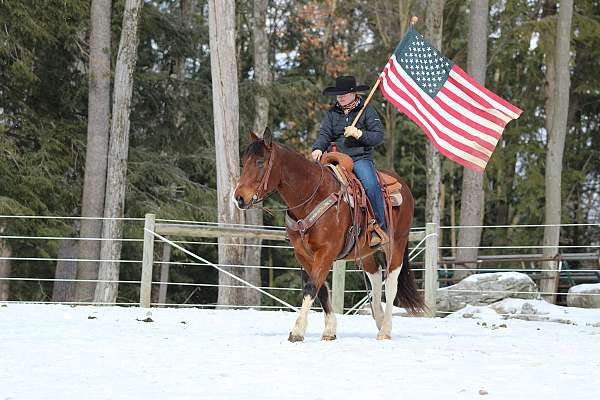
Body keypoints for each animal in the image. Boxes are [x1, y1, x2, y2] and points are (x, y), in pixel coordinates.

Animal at [232, 128, 424, 340]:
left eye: (260, 162)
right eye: (244, 161)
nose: (239, 198)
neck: (312, 196)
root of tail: (404, 187)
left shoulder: (326, 251)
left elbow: (311, 287)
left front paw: (297, 331)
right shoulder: (303, 254)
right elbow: (321, 288)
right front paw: (330, 330)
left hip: (396, 244)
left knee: (391, 283)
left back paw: (385, 330)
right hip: (365, 251)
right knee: (375, 275)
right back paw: (379, 319)